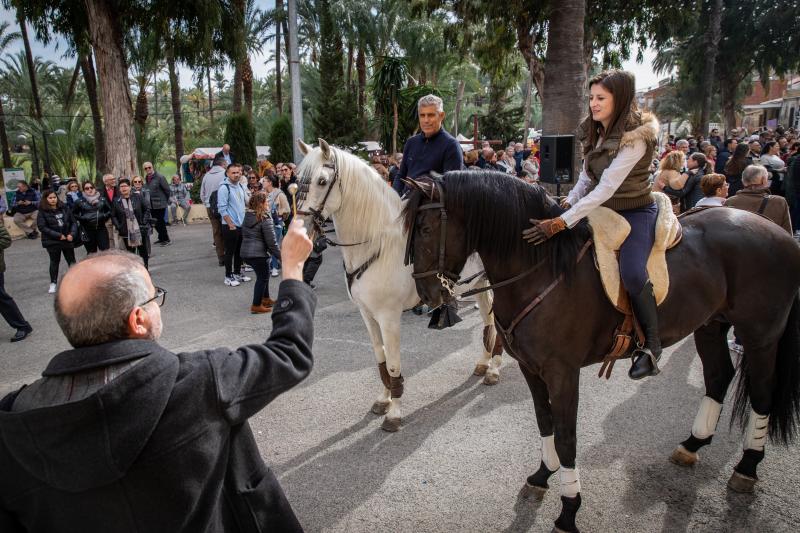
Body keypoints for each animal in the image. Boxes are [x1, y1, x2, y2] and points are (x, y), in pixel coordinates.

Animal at [296, 139, 504, 430]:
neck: (377, 244)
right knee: (487, 322)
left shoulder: (389, 317)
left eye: (322, 181)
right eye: (297, 180)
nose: (301, 229)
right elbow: (380, 357)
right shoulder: (367, 314)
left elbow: (393, 363)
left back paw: (494, 368)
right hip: (480, 284)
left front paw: (394, 413)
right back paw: (484, 363)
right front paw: (384, 399)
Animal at [404, 171, 800, 532]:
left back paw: (747, 467)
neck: (541, 268)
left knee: (762, 393)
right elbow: (545, 422)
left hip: (760, 335)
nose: (426, 296)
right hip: (709, 325)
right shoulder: (532, 368)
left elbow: (566, 437)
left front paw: (568, 509)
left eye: (424, 228)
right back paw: (692, 445)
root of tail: (779, 233)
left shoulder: (562, 372)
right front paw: (542, 475)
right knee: (718, 376)